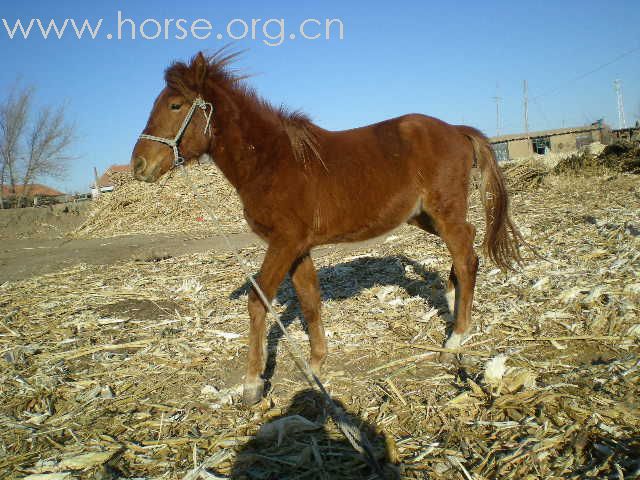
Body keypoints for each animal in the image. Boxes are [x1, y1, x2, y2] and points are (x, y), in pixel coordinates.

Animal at [131, 51, 524, 404]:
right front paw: (316, 365)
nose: (139, 165)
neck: (272, 161)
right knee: (466, 247)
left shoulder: (284, 243)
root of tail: (456, 130)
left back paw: (455, 339)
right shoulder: (298, 247)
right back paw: (452, 304)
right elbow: (309, 301)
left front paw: (252, 385)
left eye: (175, 106)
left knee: (467, 258)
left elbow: (259, 301)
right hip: (424, 217)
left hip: (444, 212)